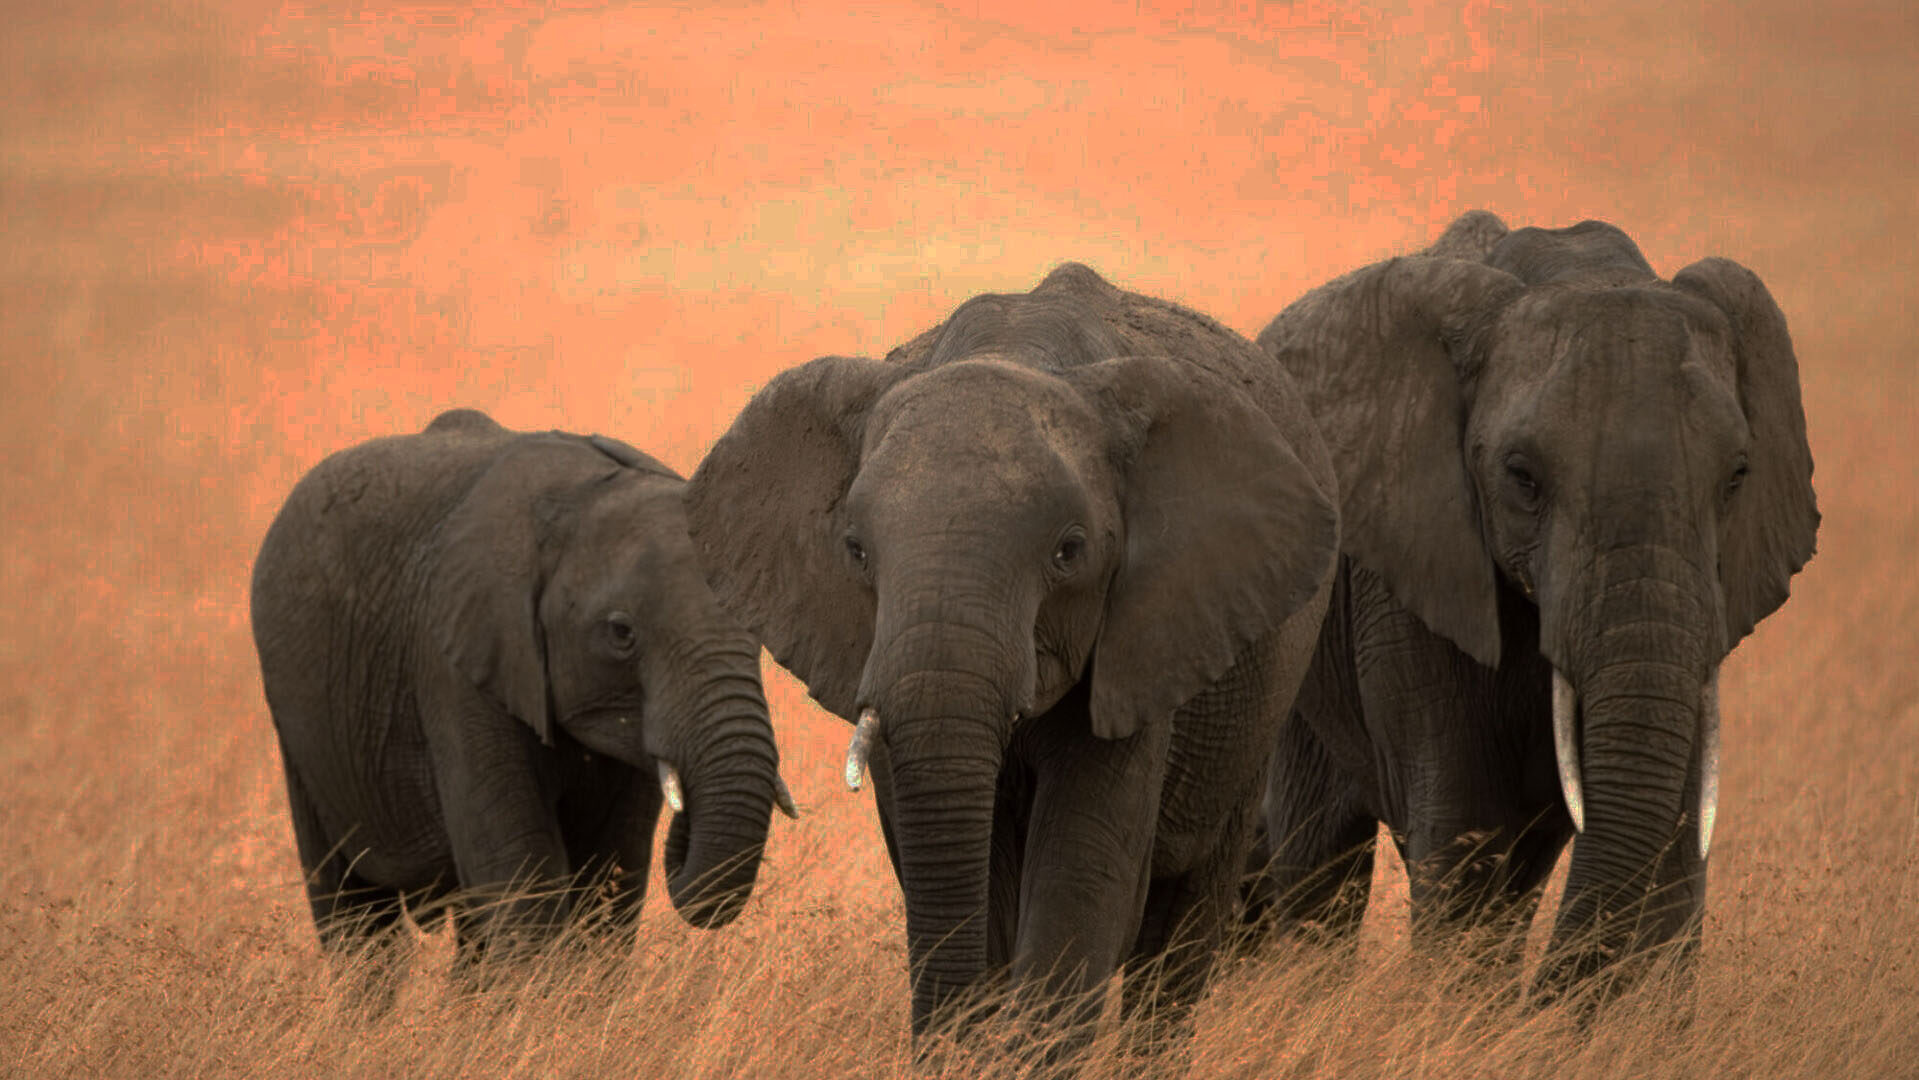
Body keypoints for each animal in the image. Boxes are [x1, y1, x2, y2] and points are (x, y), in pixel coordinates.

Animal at [249, 410, 794, 1005]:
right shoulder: (457, 663)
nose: (687, 824)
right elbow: (522, 877)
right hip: (297, 726)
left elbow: (610, 877)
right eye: (621, 633)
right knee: (356, 920)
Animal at [687, 264, 1335, 1058]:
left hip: (1256, 708)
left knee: (1183, 923)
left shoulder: (1141, 639)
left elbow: (1080, 873)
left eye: (1069, 551)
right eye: (855, 550)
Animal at [1243, 209, 1811, 1005]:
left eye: (1736, 477)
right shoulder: (1415, 576)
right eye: (1521, 477)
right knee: (1319, 857)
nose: (1539, 1008)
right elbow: (1465, 829)